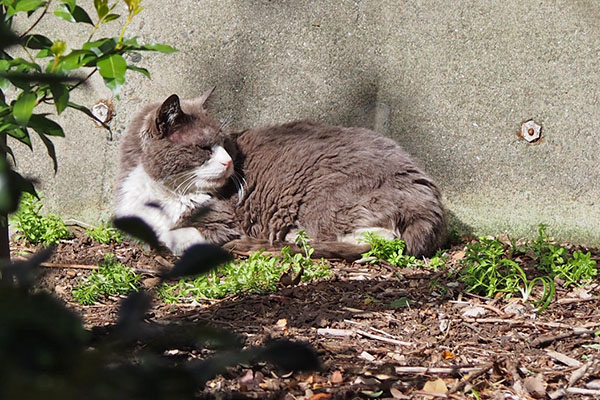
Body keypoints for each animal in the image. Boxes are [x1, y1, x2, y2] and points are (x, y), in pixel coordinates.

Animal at [115, 90, 446, 260]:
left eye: (225, 144)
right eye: (205, 147)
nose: (228, 163)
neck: (163, 193)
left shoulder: (225, 221)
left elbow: (178, 235)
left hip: (325, 196)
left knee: (380, 238)